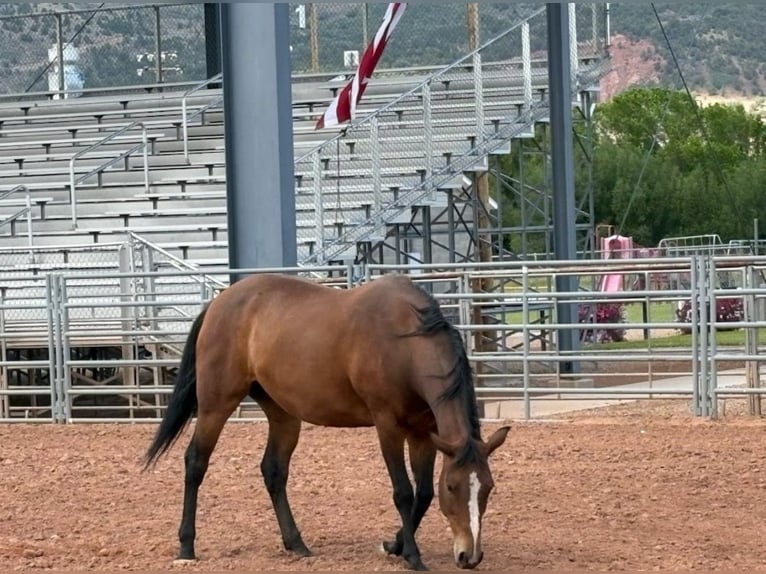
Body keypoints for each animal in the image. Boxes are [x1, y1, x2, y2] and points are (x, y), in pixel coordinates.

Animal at [143, 272, 510, 571]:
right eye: (453, 487)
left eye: (488, 487)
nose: (470, 556)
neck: (404, 343)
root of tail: (218, 303)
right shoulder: (387, 427)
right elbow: (403, 492)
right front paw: (412, 556)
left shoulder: (423, 433)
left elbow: (422, 494)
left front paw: (394, 545)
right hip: (215, 405)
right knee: (196, 462)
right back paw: (187, 546)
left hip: (283, 413)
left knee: (273, 471)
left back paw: (296, 543)